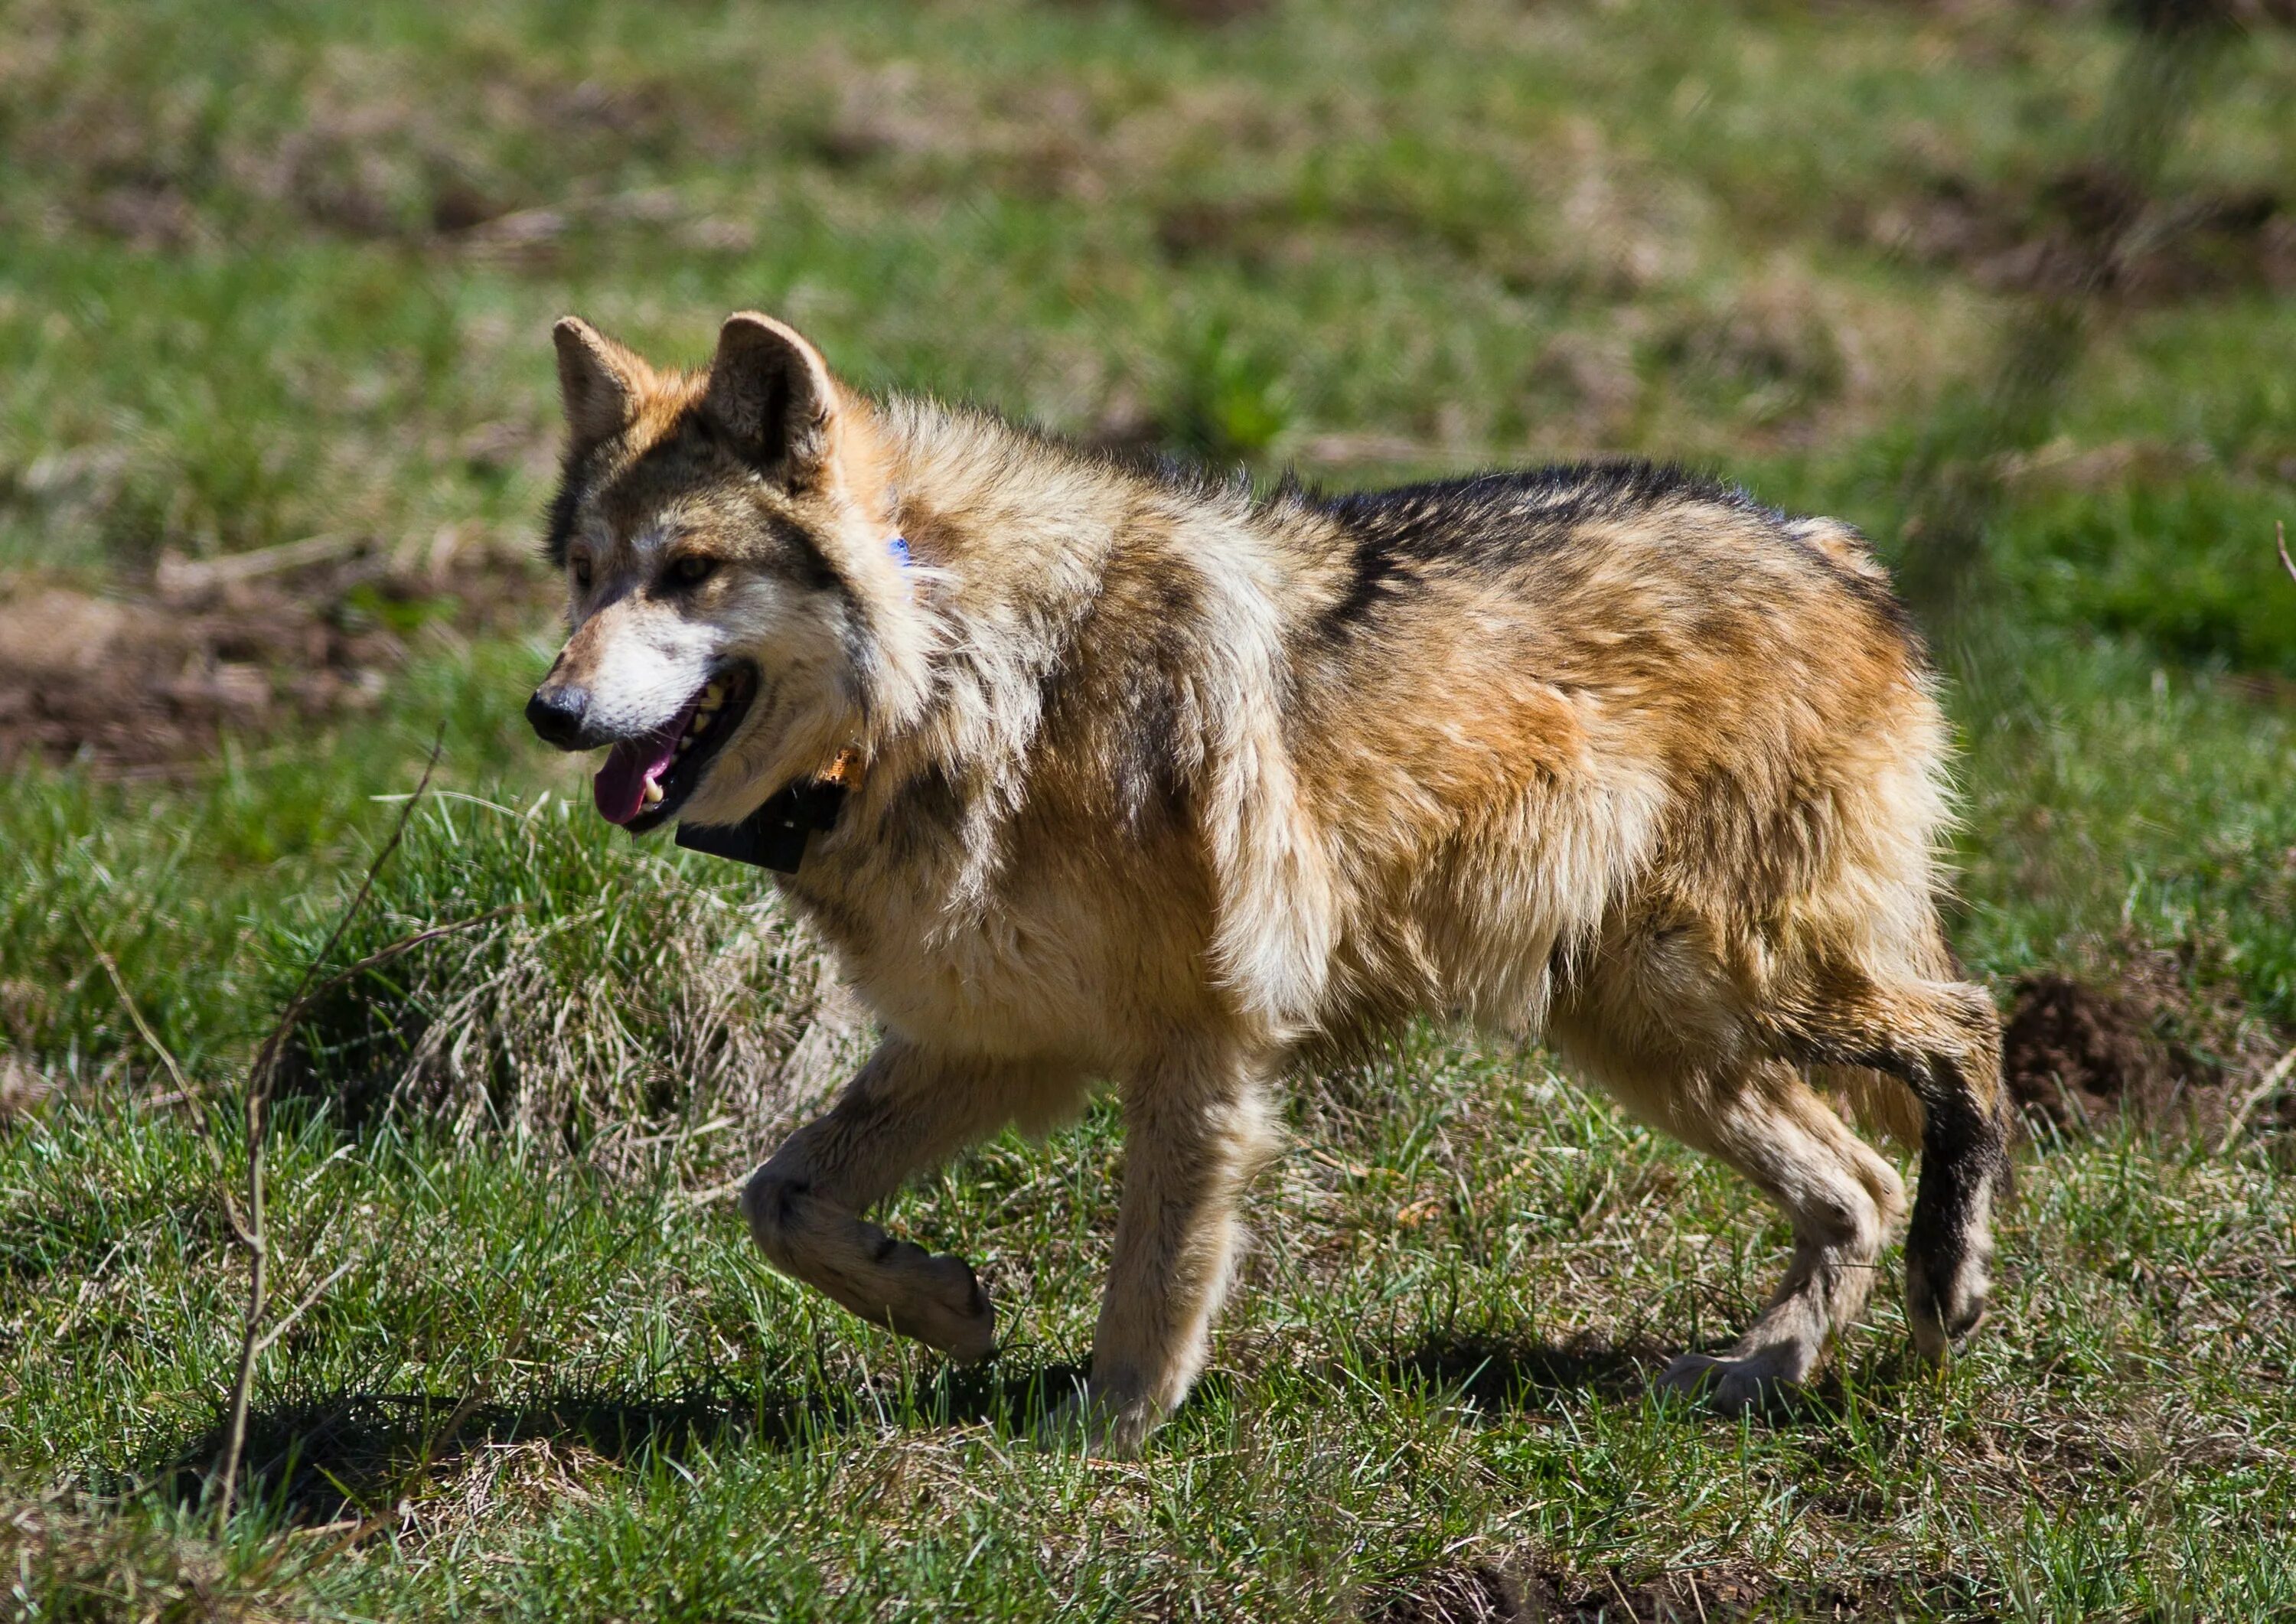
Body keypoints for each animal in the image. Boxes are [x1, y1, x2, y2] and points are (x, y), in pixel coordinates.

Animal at [528, 312, 2002, 1451]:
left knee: (1971, 1037)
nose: (550, 710)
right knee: (1855, 1181)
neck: (961, 676)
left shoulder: (1205, 1042)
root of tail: (1834, 551)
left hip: (1744, 979)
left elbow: (1154, 1279)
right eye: (585, 575)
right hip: (1645, 1031)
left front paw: (1097, 1443)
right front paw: (942, 1302)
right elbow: (778, 1199)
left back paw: (1945, 1292)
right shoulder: (996, 1040)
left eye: (690, 571)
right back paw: (1755, 1372)